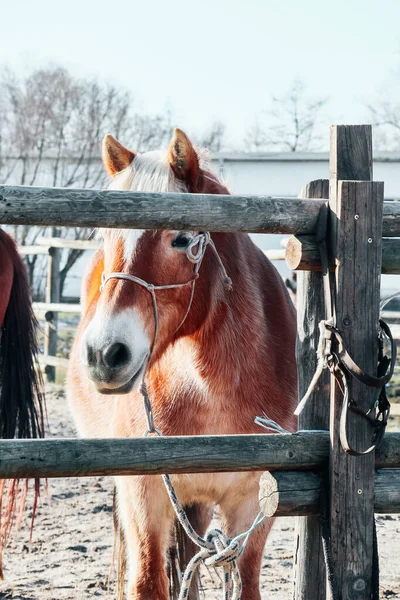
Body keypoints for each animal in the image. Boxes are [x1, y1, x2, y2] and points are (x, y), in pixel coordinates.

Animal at [68, 129, 296, 596]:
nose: (103, 353)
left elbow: (244, 582)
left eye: (181, 238)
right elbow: (148, 583)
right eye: (106, 235)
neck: (212, 390)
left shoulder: (254, 504)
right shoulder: (145, 496)